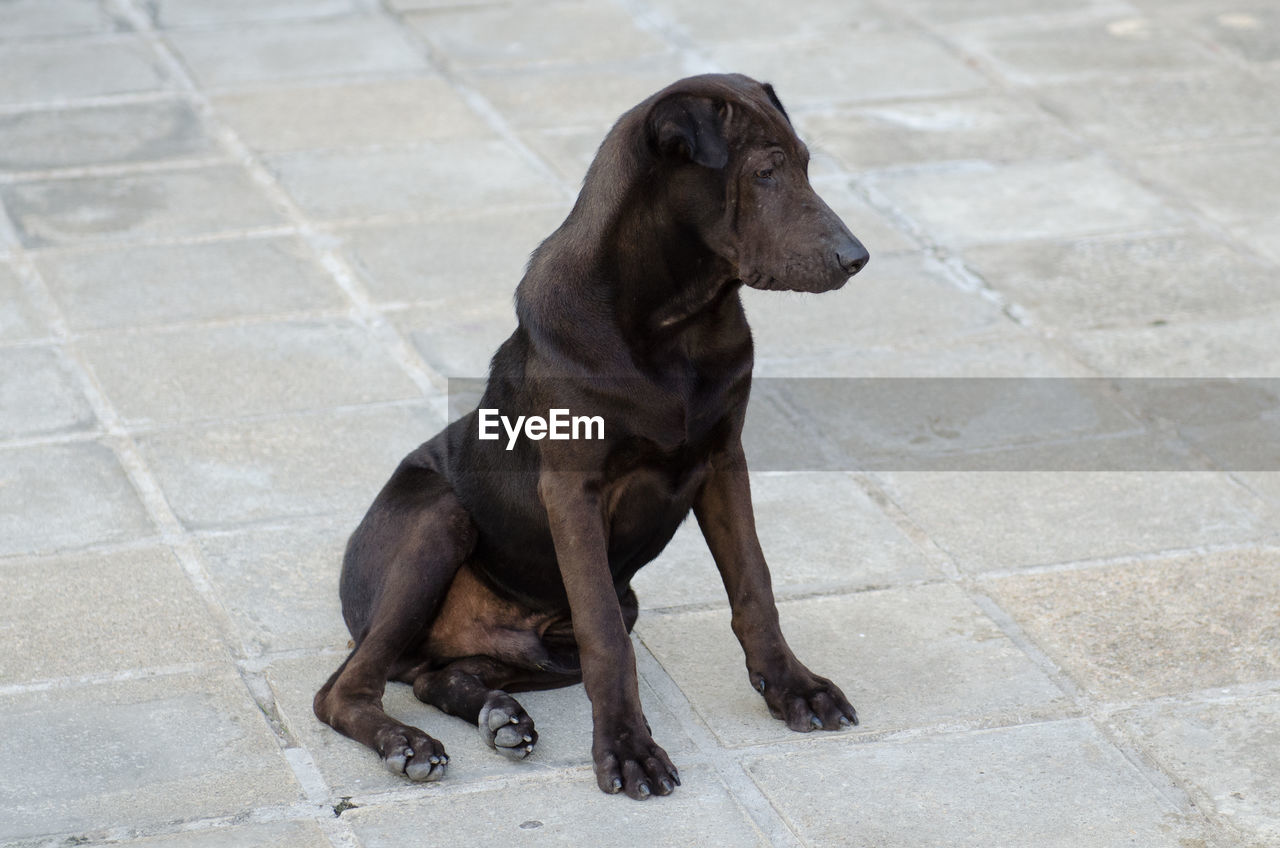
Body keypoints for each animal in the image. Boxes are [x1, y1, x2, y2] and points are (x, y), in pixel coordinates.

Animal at [312, 74, 870, 804]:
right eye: (765, 173)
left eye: (804, 165)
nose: (857, 259)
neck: (676, 321)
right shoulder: (574, 491)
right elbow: (608, 637)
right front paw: (629, 750)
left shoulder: (724, 461)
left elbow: (755, 584)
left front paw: (794, 688)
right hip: (437, 523)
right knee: (342, 691)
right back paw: (407, 743)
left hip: (554, 636)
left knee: (442, 674)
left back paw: (499, 716)